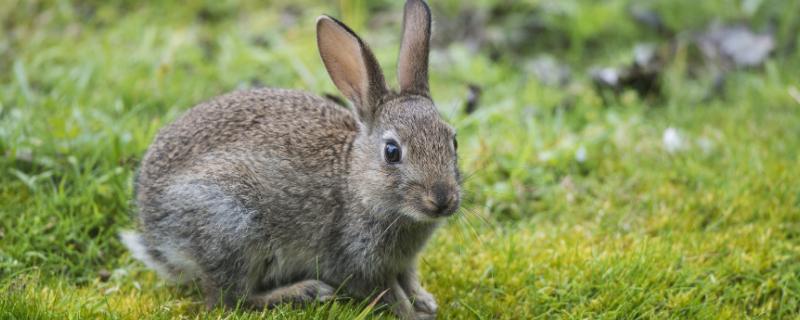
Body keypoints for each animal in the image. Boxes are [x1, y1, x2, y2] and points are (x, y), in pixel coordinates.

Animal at [117, 1, 456, 318]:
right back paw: (305, 291)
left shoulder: (404, 263)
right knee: (229, 300)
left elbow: (409, 280)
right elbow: (388, 293)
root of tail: (155, 229)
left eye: (452, 139)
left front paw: (425, 301)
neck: (356, 183)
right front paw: (412, 313)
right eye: (392, 152)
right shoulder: (357, 261)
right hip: (232, 226)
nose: (442, 199)